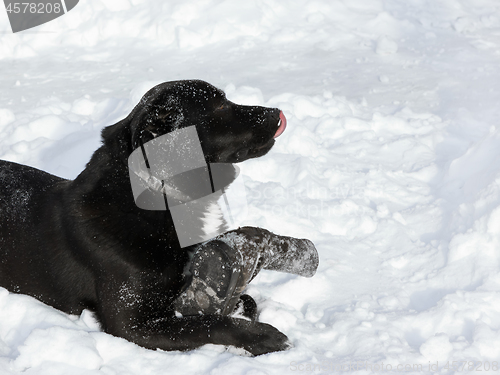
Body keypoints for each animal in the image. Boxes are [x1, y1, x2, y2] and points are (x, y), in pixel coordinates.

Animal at [0, 81, 312, 356]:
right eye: (221, 105)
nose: (276, 112)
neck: (157, 199)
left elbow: (241, 302)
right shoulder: (131, 326)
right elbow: (205, 323)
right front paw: (260, 336)